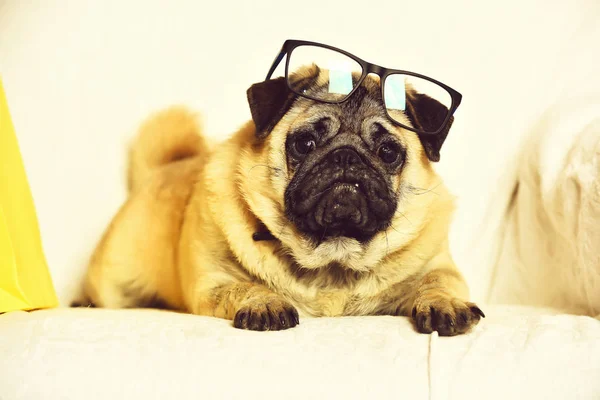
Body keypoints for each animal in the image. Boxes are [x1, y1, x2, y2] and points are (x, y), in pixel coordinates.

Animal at [72, 52, 486, 338]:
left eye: (388, 152)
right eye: (304, 143)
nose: (346, 156)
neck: (333, 256)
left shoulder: (438, 267)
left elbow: (436, 283)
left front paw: (446, 305)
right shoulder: (213, 283)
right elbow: (243, 285)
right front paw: (265, 302)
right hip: (115, 280)